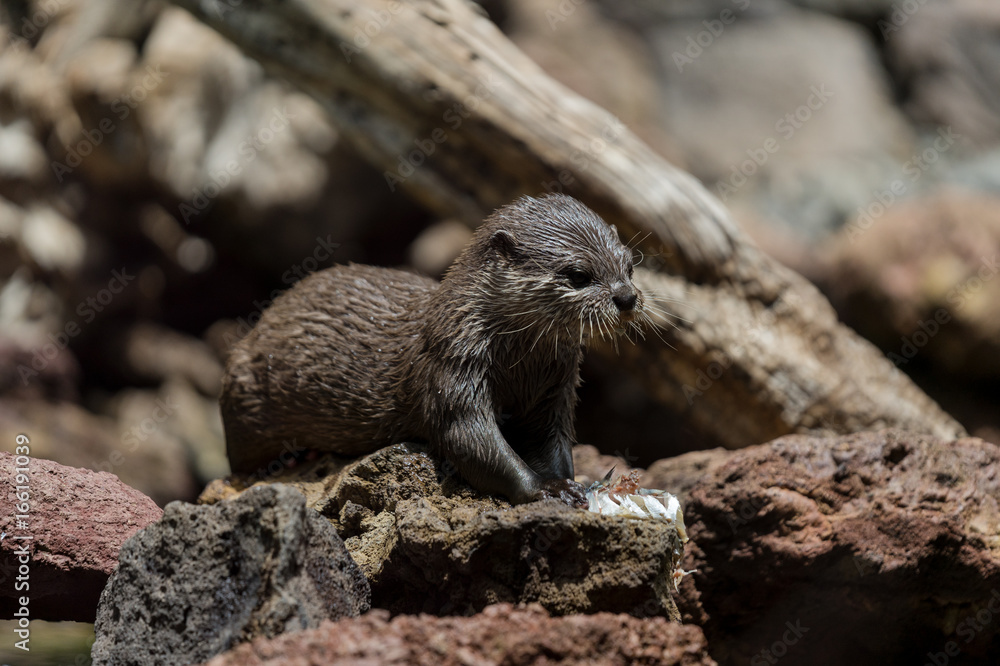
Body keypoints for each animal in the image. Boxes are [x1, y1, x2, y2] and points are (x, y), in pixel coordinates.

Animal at [221, 194, 645, 505]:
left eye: (629, 266)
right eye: (577, 275)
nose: (626, 297)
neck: (521, 364)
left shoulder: (555, 388)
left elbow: (552, 441)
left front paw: (571, 483)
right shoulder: (451, 361)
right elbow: (469, 437)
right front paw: (545, 489)